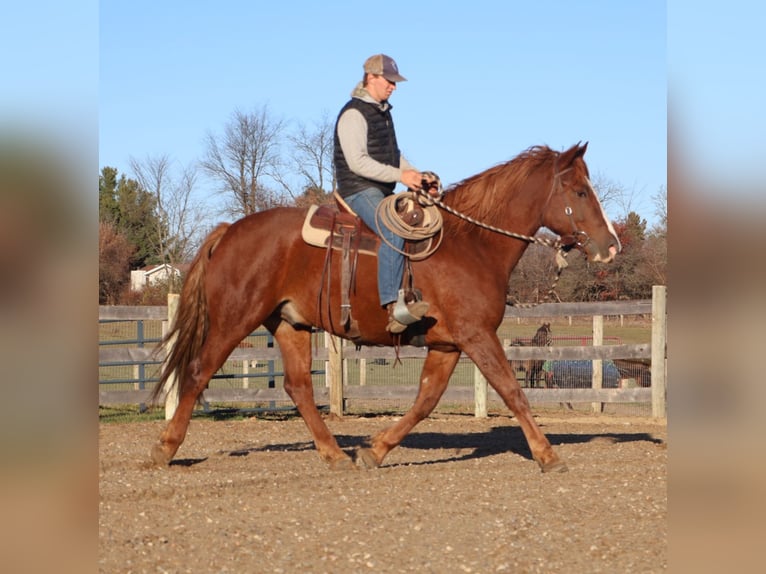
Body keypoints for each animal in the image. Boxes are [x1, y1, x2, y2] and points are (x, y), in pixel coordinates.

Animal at [149, 142, 620, 473]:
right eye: (580, 191)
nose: (612, 245)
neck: (471, 245)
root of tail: (229, 231)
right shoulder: (477, 336)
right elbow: (512, 391)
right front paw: (547, 455)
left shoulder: (448, 345)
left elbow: (425, 401)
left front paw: (375, 450)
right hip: (234, 320)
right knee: (198, 372)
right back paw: (165, 448)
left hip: (289, 325)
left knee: (299, 388)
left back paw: (335, 455)